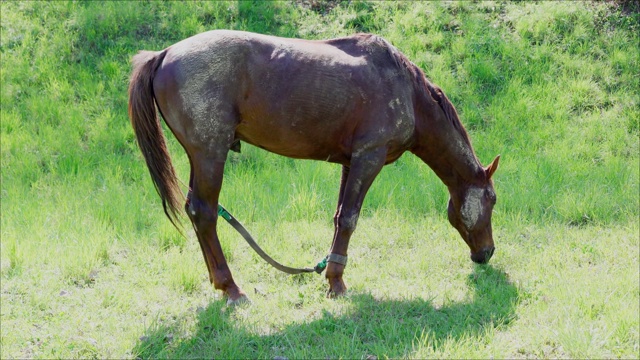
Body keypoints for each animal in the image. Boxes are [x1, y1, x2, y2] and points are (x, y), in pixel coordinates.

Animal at [129, 29, 500, 304]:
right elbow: (350, 219)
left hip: (201, 158)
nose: (487, 253)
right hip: (210, 155)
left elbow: (338, 217)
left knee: (196, 211)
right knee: (205, 213)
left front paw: (332, 274)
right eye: (493, 200)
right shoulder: (370, 158)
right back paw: (231, 288)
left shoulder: (351, 162)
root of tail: (164, 53)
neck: (407, 92)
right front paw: (336, 284)